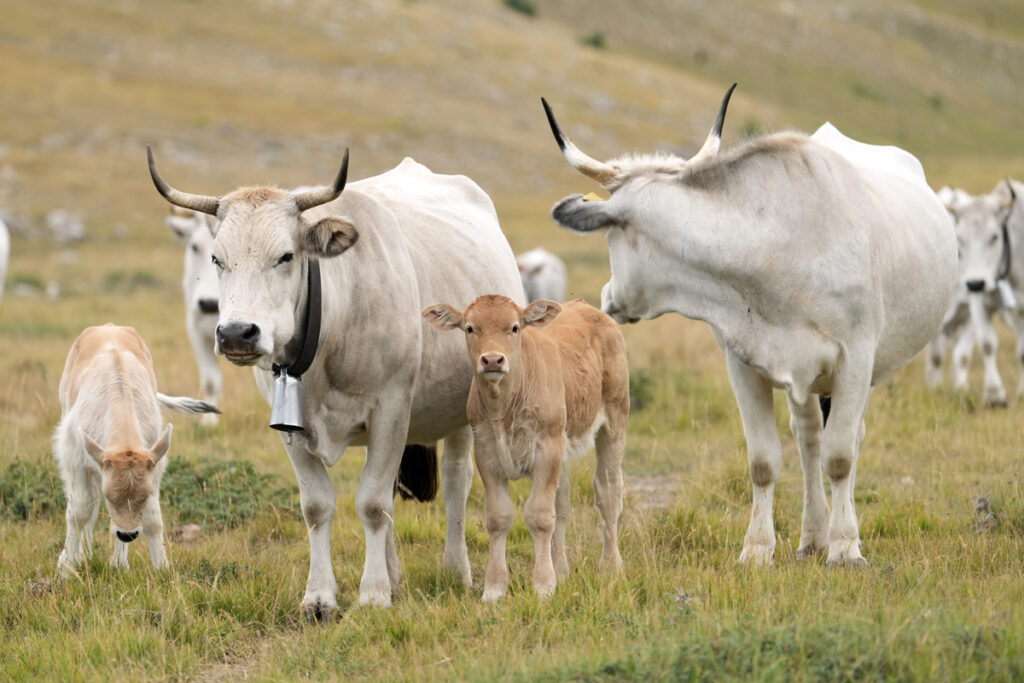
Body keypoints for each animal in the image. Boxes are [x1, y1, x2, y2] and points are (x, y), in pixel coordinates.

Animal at [55, 325, 219, 577]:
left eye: (143, 496)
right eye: (110, 498)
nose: (128, 534)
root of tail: (108, 326)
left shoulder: (155, 466)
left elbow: (153, 520)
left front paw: (158, 567)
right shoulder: (75, 459)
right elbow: (79, 511)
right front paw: (67, 567)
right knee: (89, 506)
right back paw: (84, 555)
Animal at [419, 296, 626, 602]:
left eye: (515, 327)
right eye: (470, 328)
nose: (493, 359)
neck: (504, 406)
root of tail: (585, 306)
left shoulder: (547, 448)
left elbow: (539, 516)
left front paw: (543, 586)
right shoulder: (486, 453)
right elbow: (499, 517)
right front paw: (494, 588)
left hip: (614, 420)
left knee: (608, 492)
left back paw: (611, 567)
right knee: (562, 501)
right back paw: (562, 570)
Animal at [544, 82, 958, 569]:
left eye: (609, 237)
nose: (608, 298)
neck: (776, 250)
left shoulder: (856, 357)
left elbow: (840, 456)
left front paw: (845, 546)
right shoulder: (742, 360)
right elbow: (764, 461)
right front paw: (758, 548)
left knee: (848, 440)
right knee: (808, 437)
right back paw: (812, 536)